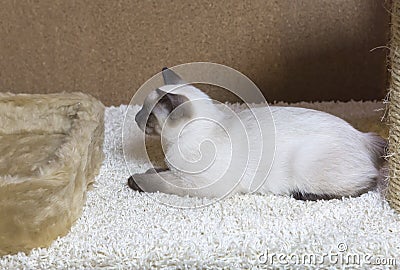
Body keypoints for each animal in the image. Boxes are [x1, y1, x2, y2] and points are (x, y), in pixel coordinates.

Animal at [127, 67, 384, 200]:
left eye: (149, 115)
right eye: (142, 110)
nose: (136, 118)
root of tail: (363, 136)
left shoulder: (198, 185)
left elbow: (158, 181)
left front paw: (133, 181)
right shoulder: (177, 170)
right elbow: (161, 171)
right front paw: (151, 169)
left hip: (306, 164)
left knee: (367, 184)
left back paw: (302, 194)